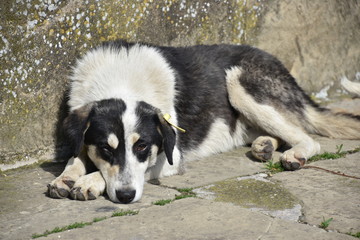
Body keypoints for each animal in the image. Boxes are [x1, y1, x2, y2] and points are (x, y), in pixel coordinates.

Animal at [47, 40, 360, 203]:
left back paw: (294, 154)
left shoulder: (169, 157)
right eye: (105, 147)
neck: (122, 82)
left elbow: (112, 171)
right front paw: (67, 176)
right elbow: (76, 156)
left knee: (308, 138)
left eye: (143, 147)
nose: (125, 196)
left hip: (239, 82)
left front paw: (89, 182)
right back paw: (265, 145)